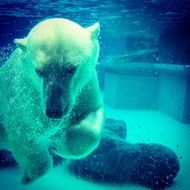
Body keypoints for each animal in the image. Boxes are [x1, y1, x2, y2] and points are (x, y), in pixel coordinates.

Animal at [0, 18, 104, 184]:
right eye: (39, 71)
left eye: (71, 68)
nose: (54, 111)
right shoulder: (20, 99)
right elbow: (22, 135)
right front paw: (28, 176)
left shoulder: (85, 88)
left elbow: (90, 117)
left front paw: (58, 143)